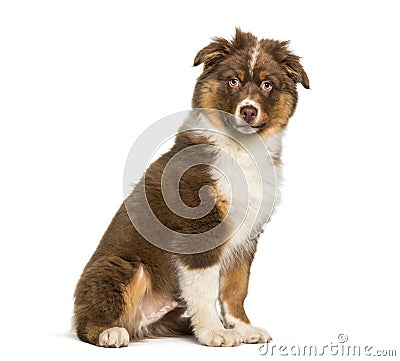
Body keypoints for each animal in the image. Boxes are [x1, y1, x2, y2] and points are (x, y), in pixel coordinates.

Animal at [73, 29, 310, 348]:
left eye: (267, 84)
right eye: (233, 81)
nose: (248, 111)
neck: (241, 149)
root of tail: (138, 326)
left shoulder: (247, 236)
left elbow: (236, 288)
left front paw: (243, 328)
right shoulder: (199, 228)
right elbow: (205, 288)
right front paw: (214, 332)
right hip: (122, 267)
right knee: (85, 322)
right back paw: (108, 332)